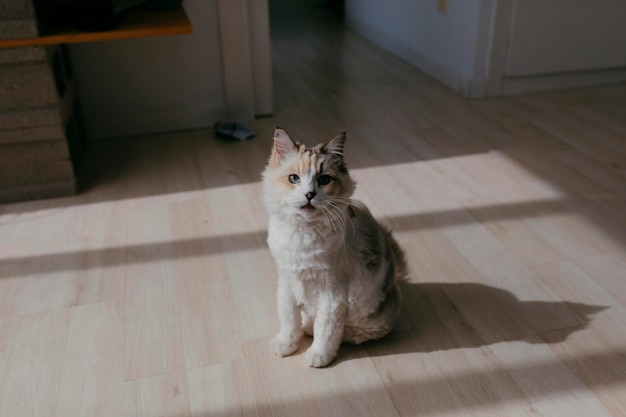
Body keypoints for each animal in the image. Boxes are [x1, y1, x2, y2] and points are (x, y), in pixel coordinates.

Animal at [258, 127, 404, 368]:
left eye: (324, 180)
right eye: (294, 179)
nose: (309, 195)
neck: (302, 233)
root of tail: (396, 282)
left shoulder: (332, 293)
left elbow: (326, 330)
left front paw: (318, 356)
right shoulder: (287, 280)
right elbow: (289, 320)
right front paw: (286, 344)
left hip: (369, 315)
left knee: (350, 332)